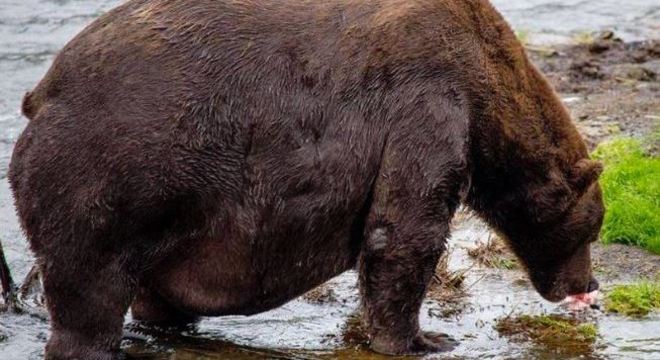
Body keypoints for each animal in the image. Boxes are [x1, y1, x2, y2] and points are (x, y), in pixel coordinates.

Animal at [7, 0, 604, 358]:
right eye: (593, 229)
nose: (590, 285)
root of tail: (40, 93)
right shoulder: (427, 102)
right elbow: (404, 231)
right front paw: (424, 337)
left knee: (151, 290)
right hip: (106, 176)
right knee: (89, 288)